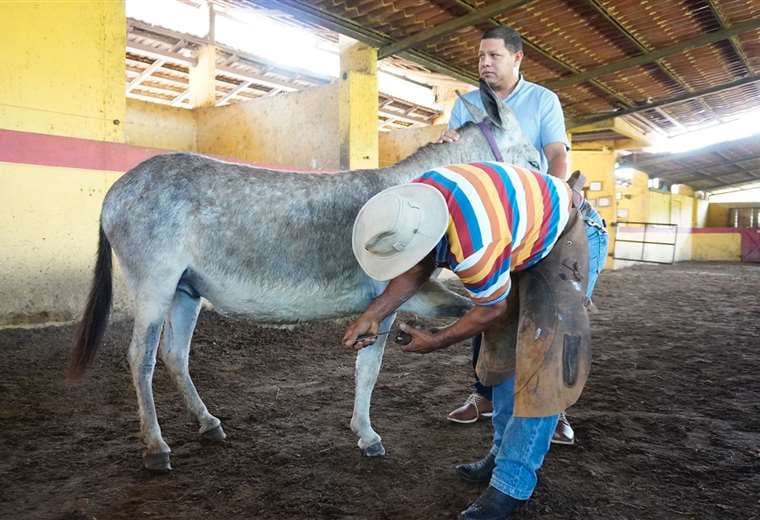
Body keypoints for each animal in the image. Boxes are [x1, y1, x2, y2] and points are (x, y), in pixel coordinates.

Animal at [70, 83, 540, 471]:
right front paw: (367, 435)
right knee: (141, 357)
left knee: (174, 355)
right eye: (534, 160)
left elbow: (465, 316)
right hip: (155, 285)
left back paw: (208, 423)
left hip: (186, 291)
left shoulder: (419, 293)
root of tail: (116, 189)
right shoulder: (390, 297)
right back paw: (156, 447)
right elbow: (369, 369)